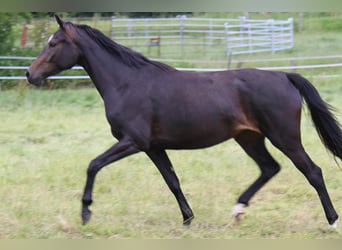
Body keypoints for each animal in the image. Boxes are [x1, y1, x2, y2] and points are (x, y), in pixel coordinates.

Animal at [26, 14, 342, 228]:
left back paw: (332, 221)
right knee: (269, 168)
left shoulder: (133, 142)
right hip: (249, 137)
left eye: (54, 43)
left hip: (284, 137)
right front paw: (188, 218)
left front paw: (86, 212)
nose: (30, 74)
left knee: (313, 172)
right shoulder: (153, 147)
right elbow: (173, 181)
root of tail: (285, 76)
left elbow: (93, 165)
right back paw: (238, 209)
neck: (127, 83)